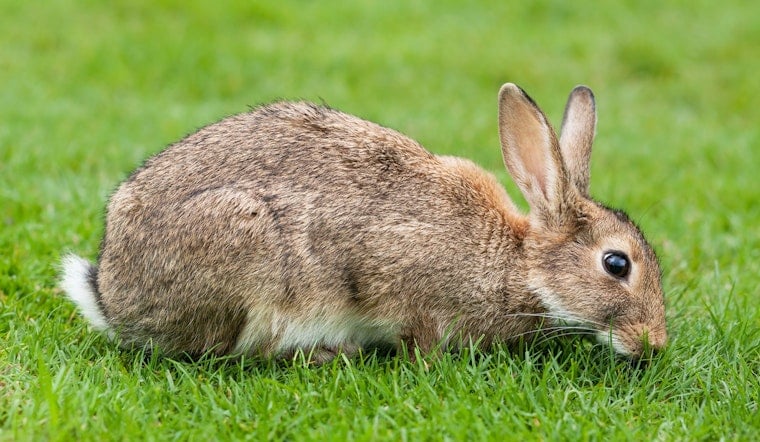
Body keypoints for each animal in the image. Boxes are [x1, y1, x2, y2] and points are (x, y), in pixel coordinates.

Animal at [61, 83, 667, 362]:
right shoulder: (397, 275)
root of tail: (111, 296)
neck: (519, 263)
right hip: (247, 258)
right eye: (617, 264)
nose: (655, 343)